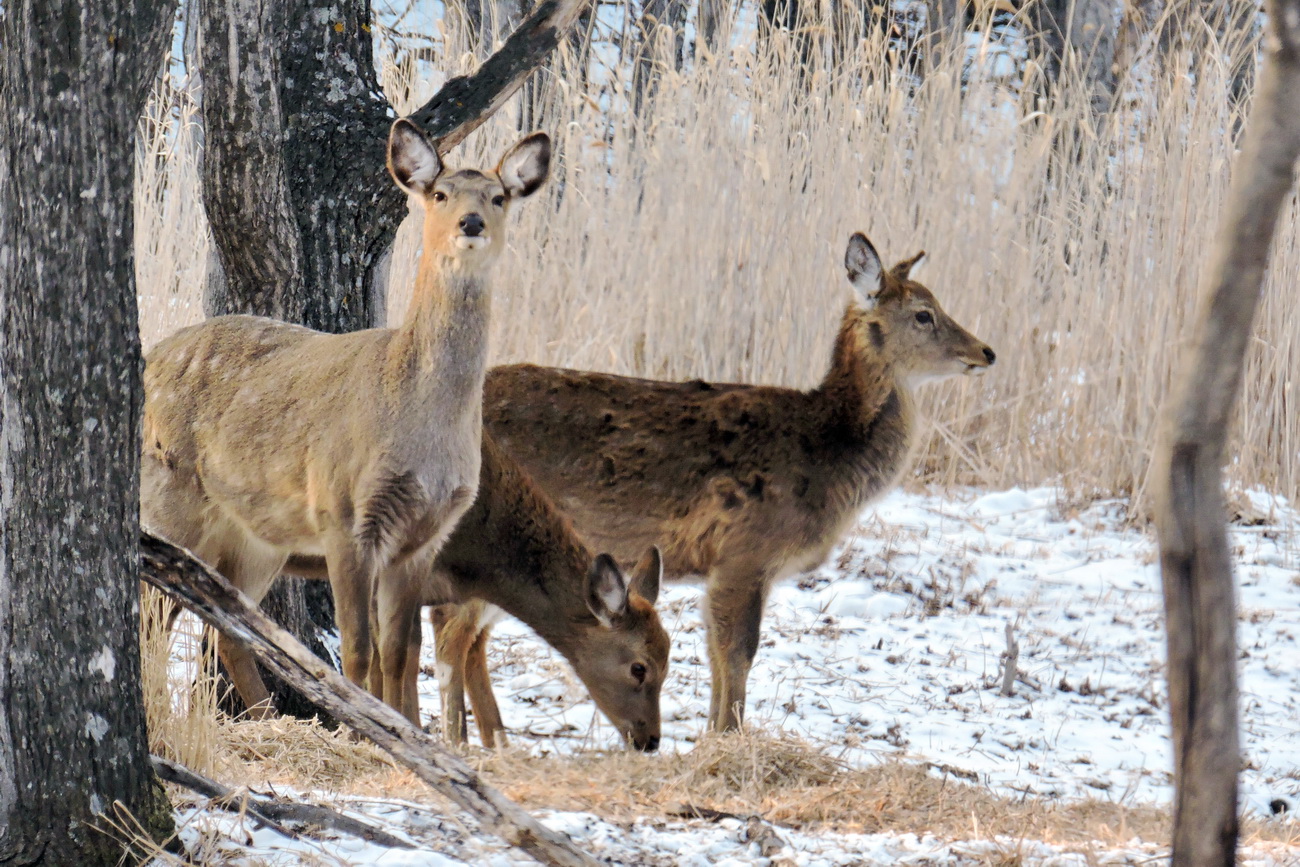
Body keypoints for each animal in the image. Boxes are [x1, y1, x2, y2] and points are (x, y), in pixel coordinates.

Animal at [142, 120, 548, 717]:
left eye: (498, 197)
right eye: (440, 194)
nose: (471, 222)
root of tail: (149, 357)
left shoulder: (425, 536)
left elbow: (399, 651)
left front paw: (406, 729)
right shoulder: (344, 513)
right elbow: (358, 649)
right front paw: (364, 726)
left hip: (256, 536)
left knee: (225, 630)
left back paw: (266, 717)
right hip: (171, 494)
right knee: (152, 611)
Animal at [436, 232, 993, 733]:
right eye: (923, 313)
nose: (986, 351)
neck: (829, 453)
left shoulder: (722, 567)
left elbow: (715, 653)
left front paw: (711, 736)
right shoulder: (746, 551)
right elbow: (739, 652)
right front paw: (730, 738)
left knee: (471, 638)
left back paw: (495, 741)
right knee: (452, 633)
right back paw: (458, 737)